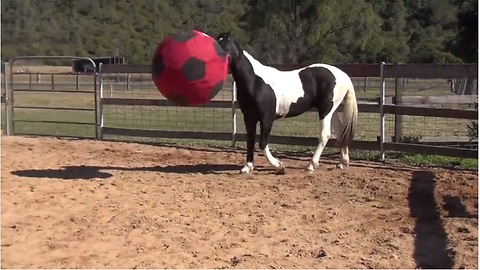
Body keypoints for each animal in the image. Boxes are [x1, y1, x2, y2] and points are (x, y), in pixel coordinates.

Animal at [217, 32, 356, 175]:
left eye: (223, 45)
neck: (256, 81)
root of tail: (343, 75)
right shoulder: (249, 118)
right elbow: (250, 141)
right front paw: (247, 167)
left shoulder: (267, 118)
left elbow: (262, 144)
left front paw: (279, 166)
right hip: (332, 110)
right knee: (340, 131)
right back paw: (342, 163)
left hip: (325, 110)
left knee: (325, 135)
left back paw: (311, 165)